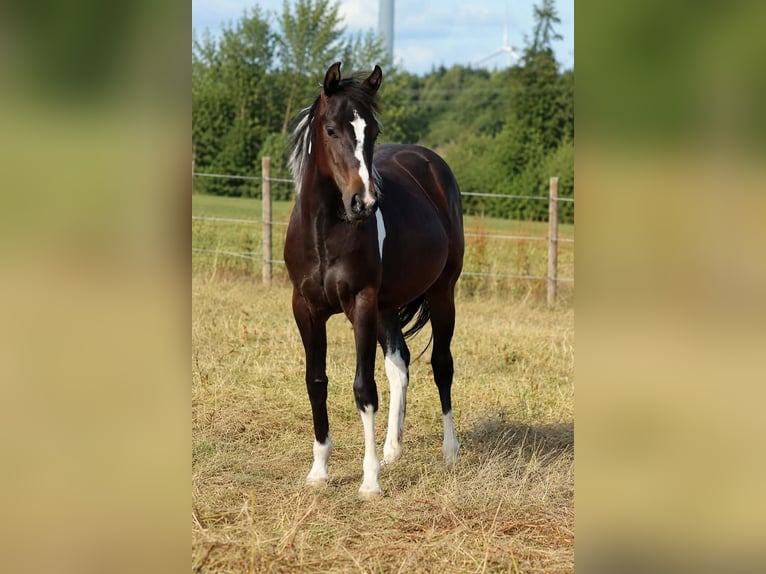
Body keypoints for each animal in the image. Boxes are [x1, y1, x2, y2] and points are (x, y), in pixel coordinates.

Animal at [284, 62, 464, 497]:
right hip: (388, 307)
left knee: (441, 364)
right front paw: (319, 471)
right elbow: (316, 380)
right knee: (399, 366)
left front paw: (369, 481)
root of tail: (431, 164)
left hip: (442, 292)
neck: (323, 232)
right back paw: (392, 449)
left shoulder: (361, 304)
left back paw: (450, 450)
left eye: (374, 132)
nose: (363, 203)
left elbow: (364, 389)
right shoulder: (305, 309)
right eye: (332, 130)